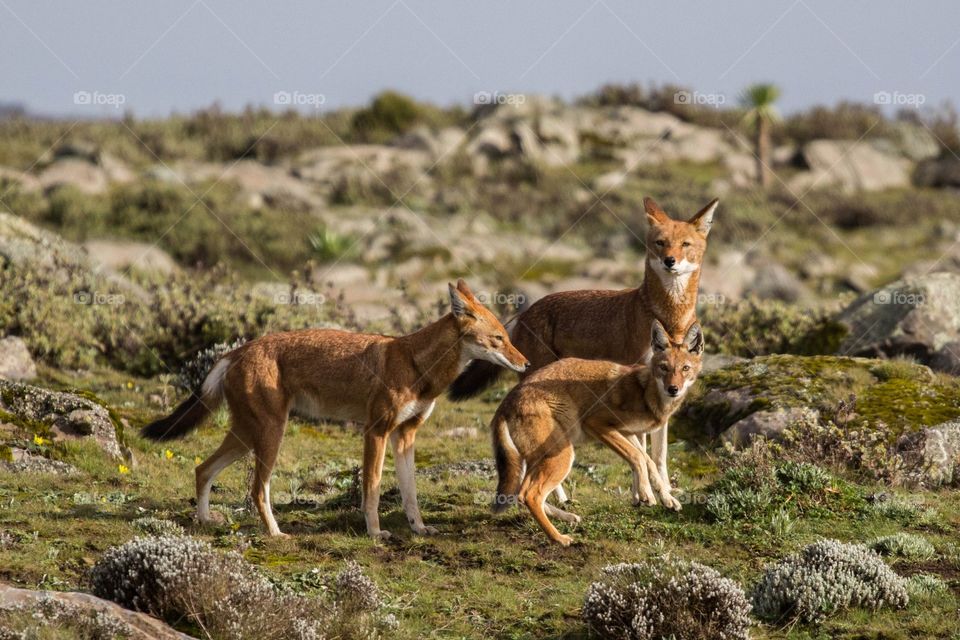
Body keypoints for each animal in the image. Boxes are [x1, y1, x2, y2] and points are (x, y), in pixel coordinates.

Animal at [142, 282, 528, 536]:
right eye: (499, 339)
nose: (525, 364)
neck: (416, 365)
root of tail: (236, 351)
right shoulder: (376, 431)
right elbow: (372, 488)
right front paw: (374, 533)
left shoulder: (405, 436)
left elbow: (411, 493)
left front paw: (419, 528)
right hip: (269, 436)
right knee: (256, 490)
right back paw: (276, 534)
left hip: (246, 437)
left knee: (202, 470)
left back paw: (206, 521)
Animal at [492, 320, 700, 544]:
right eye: (664, 368)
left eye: (685, 368)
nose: (673, 389)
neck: (645, 392)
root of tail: (506, 402)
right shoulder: (597, 423)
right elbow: (638, 457)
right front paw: (646, 494)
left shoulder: (627, 432)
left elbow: (647, 461)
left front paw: (664, 498)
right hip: (562, 456)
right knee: (531, 495)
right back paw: (559, 538)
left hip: (540, 461)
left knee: (521, 494)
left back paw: (568, 517)